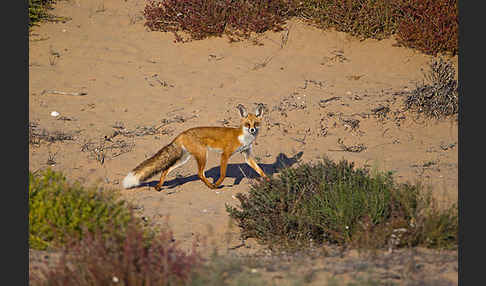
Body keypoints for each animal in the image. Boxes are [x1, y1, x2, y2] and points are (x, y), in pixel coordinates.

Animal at [121, 102, 266, 190]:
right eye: (247, 124)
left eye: (256, 124)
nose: (252, 130)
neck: (244, 138)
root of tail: (182, 133)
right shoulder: (225, 154)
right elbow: (223, 174)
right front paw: (217, 184)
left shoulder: (247, 155)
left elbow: (260, 171)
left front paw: (268, 181)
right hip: (202, 155)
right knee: (200, 174)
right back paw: (211, 186)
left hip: (183, 159)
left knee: (166, 170)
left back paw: (159, 186)